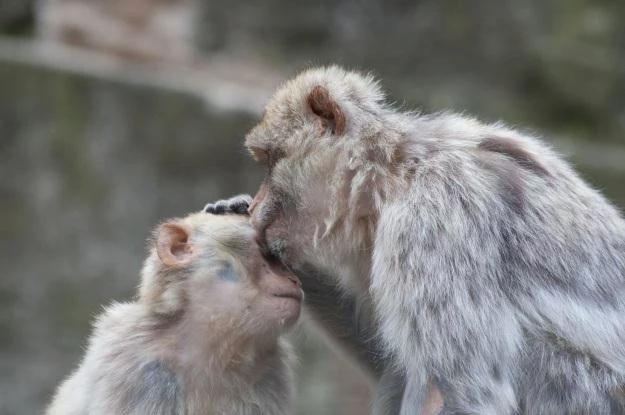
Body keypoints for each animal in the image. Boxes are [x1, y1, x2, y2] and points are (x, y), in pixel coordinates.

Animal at [212, 66, 624, 414]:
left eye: (270, 162)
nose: (258, 207)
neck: (393, 173)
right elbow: (384, 353)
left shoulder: (431, 223)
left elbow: (462, 392)